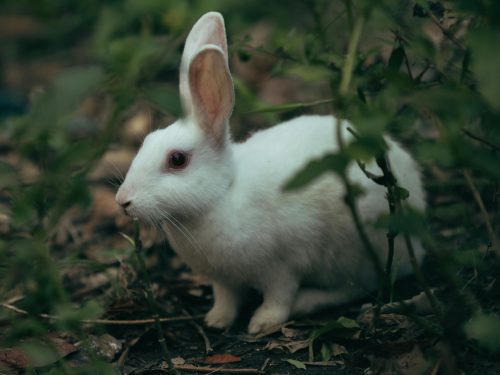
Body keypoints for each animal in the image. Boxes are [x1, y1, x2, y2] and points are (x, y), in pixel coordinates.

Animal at [117, 11, 426, 334]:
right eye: (147, 141)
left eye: (177, 160)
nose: (122, 201)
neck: (222, 195)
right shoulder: (223, 280)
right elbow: (226, 298)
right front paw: (217, 320)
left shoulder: (282, 267)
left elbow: (279, 296)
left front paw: (262, 323)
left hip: (356, 251)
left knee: (358, 287)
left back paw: (307, 301)